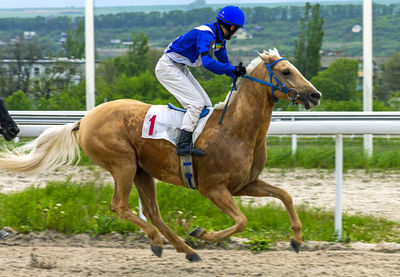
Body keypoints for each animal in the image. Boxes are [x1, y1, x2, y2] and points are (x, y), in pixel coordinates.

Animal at [0, 49, 320, 260]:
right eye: (286, 71)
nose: (315, 95)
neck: (236, 129)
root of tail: (84, 120)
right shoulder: (213, 188)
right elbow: (241, 221)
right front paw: (203, 233)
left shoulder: (244, 184)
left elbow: (285, 195)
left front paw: (296, 239)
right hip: (123, 164)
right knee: (119, 206)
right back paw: (162, 241)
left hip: (142, 171)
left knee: (153, 212)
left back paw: (185, 250)